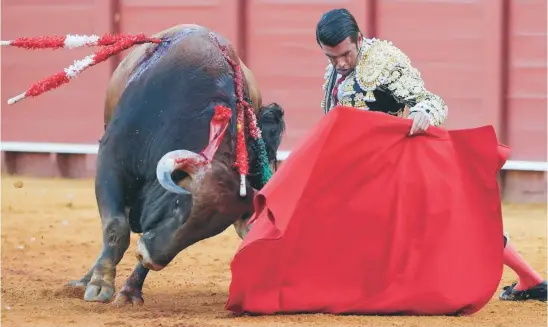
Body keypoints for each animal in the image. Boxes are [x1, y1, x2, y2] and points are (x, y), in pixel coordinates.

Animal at [65, 25, 286, 308]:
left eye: (207, 232)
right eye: (180, 205)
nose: (152, 258)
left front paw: (129, 292)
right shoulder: (110, 161)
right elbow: (116, 228)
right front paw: (99, 285)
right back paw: (84, 281)